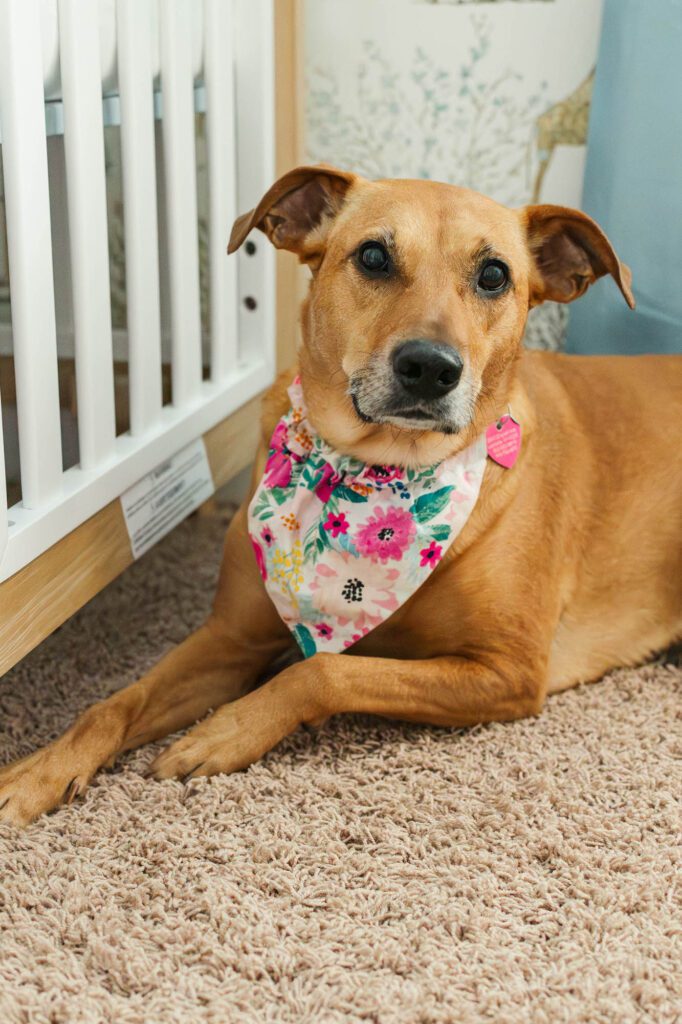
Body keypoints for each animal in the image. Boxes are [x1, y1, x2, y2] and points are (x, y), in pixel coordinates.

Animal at [0, 167, 675, 823]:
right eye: (374, 256)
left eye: (493, 276)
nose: (430, 368)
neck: (374, 471)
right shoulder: (230, 639)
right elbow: (112, 703)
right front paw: (40, 773)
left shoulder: (507, 670)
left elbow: (322, 669)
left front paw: (224, 731)